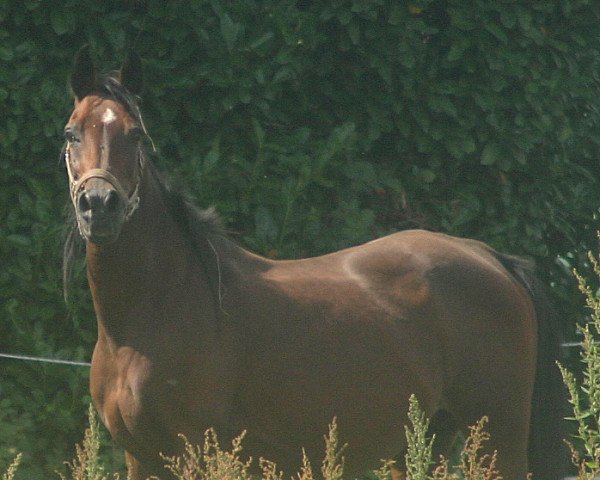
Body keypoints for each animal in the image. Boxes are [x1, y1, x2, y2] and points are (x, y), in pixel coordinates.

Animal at [62, 46, 568, 480]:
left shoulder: (192, 452)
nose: (99, 206)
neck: (153, 312)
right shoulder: (142, 458)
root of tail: (490, 257)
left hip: (497, 439)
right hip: (427, 441)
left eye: (136, 134)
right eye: (71, 133)